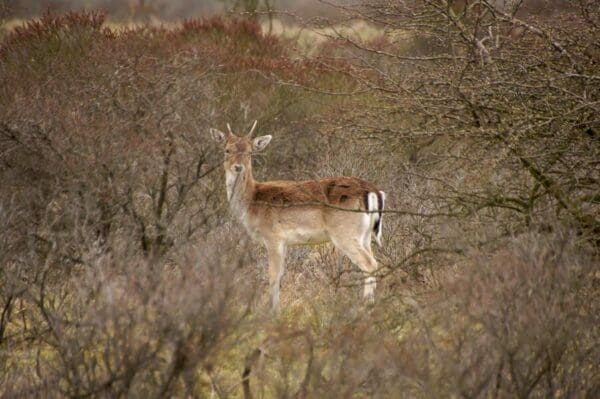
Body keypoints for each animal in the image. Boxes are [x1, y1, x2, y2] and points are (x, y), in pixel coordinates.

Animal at [210, 122, 384, 312]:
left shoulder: (273, 236)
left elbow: (273, 275)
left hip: (345, 233)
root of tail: (373, 191)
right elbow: (281, 274)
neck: (252, 202)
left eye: (250, 152)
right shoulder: (285, 242)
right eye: (227, 150)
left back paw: (365, 306)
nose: (238, 167)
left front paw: (273, 311)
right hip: (365, 235)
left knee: (370, 264)